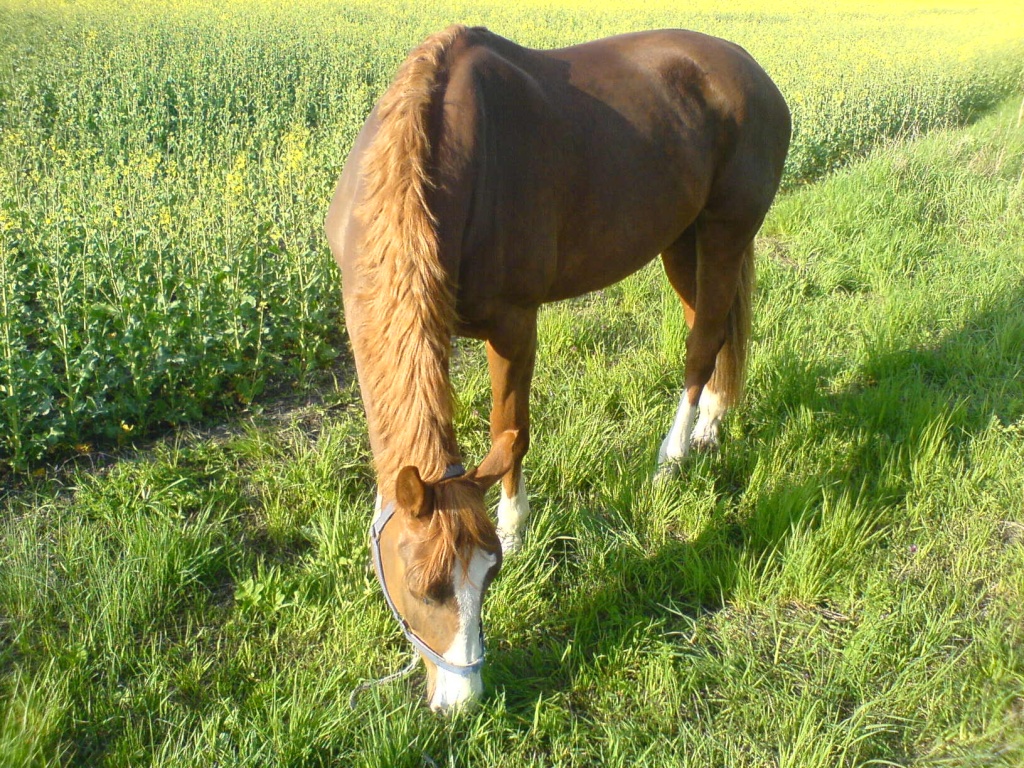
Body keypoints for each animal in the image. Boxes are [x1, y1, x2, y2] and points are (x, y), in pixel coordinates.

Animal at [325, 24, 790, 711]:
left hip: (726, 230)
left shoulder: (514, 324)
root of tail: (752, 72)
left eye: (489, 574)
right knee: (714, 330)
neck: (439, 162)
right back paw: (711, 423)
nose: (463, 704)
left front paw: (516, 529)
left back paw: (672, 456)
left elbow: (509, 431)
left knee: (703, 340)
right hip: (684, 239)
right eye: (419, 585)